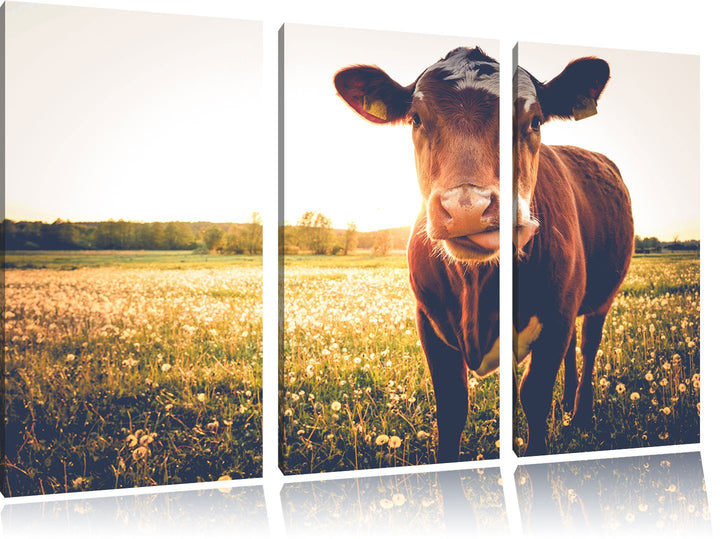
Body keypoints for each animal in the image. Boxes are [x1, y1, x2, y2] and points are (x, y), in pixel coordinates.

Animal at [334, 47, 633, 459]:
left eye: (534, 121)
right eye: (416, 118)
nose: (467, 208)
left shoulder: (556, 316)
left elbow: (534, 396)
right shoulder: (429, 322)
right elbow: (452, 406)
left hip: (601, 297)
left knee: (588, 346)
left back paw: (580, 414)